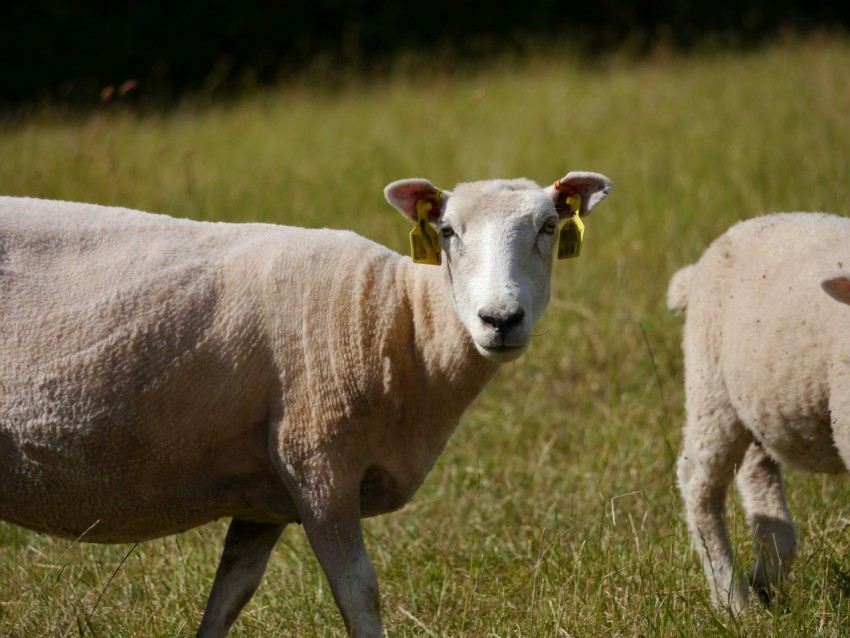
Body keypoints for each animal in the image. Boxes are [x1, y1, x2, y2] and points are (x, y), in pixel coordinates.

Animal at [0, 170, 612, 637]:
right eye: (447, 231)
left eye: (550, 227)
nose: (500, 320)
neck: (398, 321)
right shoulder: (318, 464)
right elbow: (361, 596)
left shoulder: (263, 496)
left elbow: (230, 594)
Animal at [668, 212, 850, 611]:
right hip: (711, 388)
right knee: (699, 485)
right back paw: (732, 600)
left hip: (757, 402)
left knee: (757, 472)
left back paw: (767, 570)